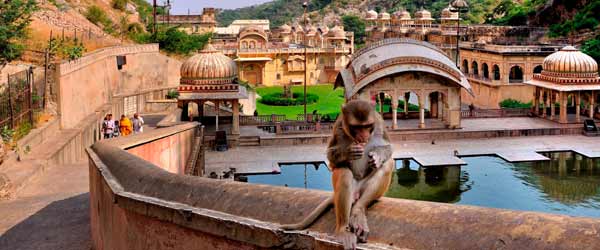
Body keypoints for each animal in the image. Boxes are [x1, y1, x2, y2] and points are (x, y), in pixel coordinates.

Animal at [280, 99, 396, 250]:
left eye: (366, 126)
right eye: (356, 127)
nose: (363, 136)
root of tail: (356, 192)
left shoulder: (379, 123)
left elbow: (388, 147)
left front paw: (377, 156)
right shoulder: (338, 127)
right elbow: (331, 156)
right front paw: (348, 152)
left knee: (388, 164)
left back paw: (358, 212)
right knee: (344, 173)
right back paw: (342, 230)